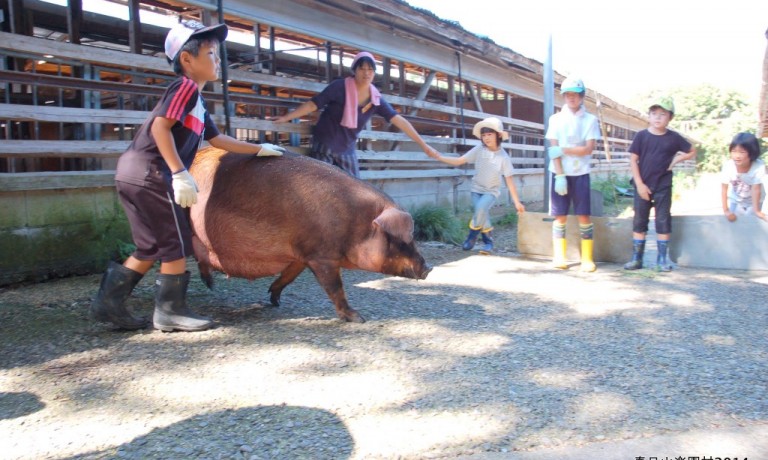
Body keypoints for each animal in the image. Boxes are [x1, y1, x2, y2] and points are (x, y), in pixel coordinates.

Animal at [188, 148, 432, 324]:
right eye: (401, 240)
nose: (429, 268)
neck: (354, 222)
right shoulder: (322, 256)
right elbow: (335, 288)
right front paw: (358, 318)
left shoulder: (301, 256)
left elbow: (288, 278)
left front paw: (275, 301)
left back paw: (210, 284)